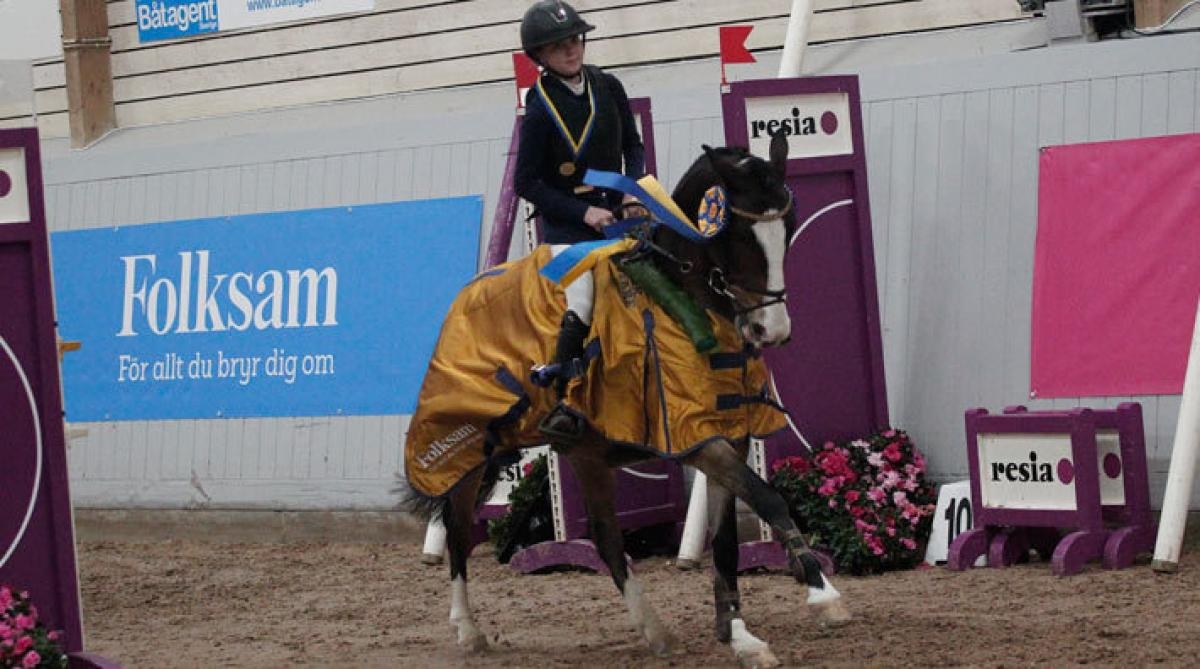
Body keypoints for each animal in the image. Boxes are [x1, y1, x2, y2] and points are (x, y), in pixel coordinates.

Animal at [400, 133, 844, 666]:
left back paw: (655, 631)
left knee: (608, 539)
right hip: (467, 451)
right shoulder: (694, 439)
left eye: (789, 228)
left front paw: (739, 634)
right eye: (737, 235)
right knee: (459, 531)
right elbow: (768, 498)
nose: (770, 331)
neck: (683, 299)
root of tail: (465, 297)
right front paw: (823, 595)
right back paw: (468, 630)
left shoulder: (730, 435)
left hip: (585, 453)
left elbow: (727, 541)